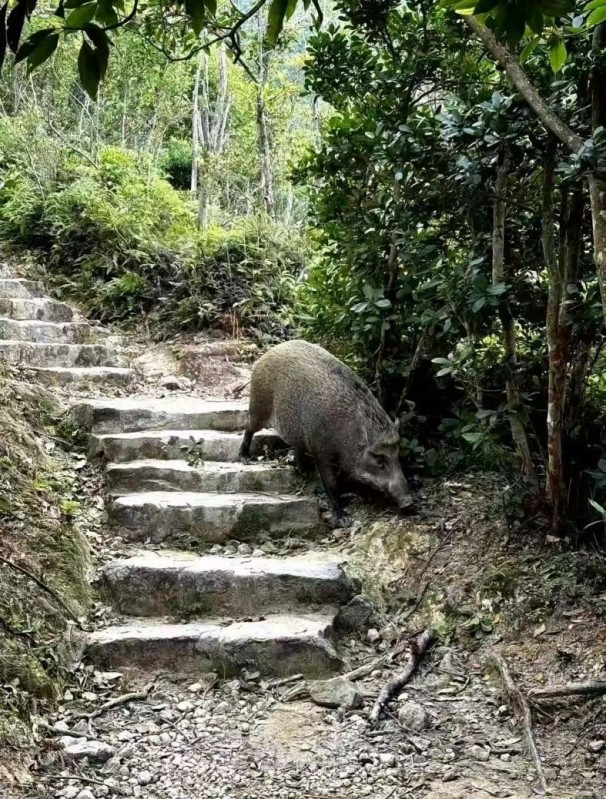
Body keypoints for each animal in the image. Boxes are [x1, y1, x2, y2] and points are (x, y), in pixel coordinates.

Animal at [239, 339, 414, 527]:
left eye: (397, 455)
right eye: (379, 459)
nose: (409, 502)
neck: (348, 434)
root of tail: (269, 352)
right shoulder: (321, 450)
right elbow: (331, 484)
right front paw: (344, 520)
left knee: (297, 446)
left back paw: (304, 473)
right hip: (259, 405)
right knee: (248, 427)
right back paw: (244, 459)